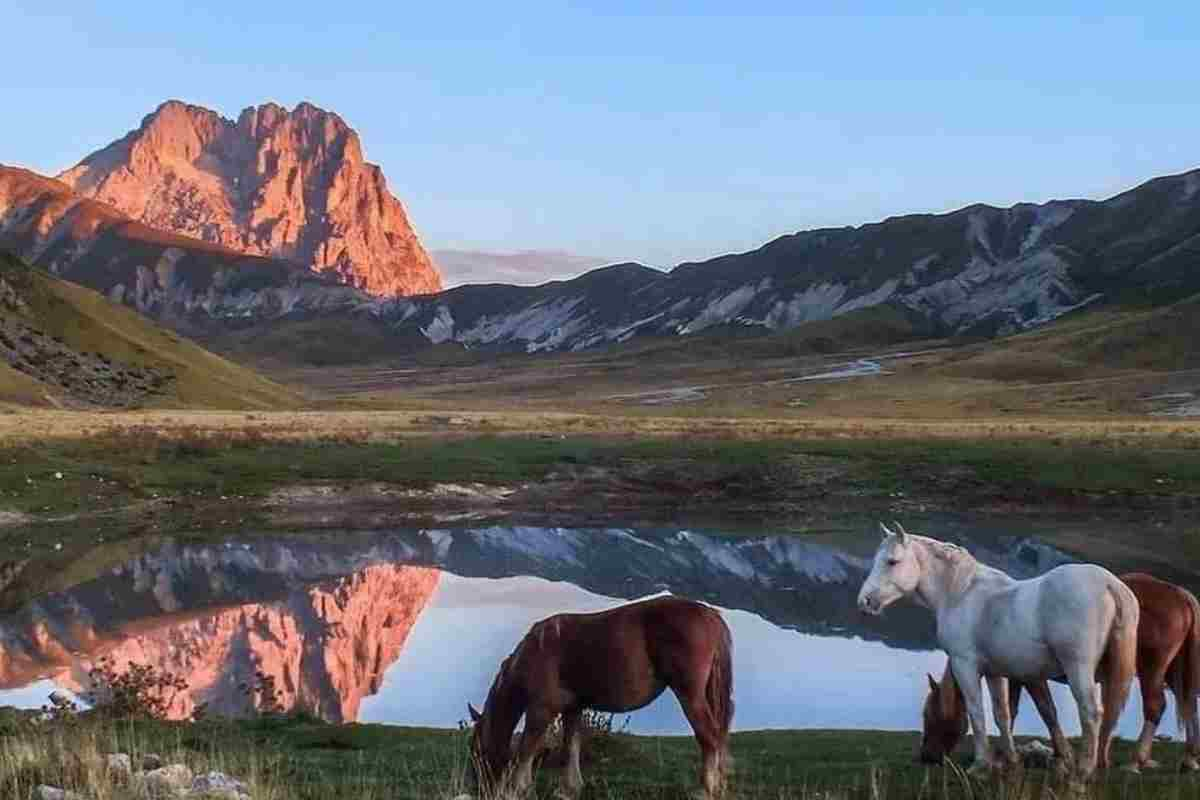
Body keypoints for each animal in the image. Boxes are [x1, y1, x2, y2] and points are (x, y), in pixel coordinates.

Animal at [465, 597, 729, 796]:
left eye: (476, 751)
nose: (481, 789)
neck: (535, 652)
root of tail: (709, 615)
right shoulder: (573, 708)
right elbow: (570, 747)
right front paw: (569, 788)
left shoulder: (541, 709)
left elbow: (526, 750)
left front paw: (515, 790)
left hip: (690, 694)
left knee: (709, 737)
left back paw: (707, 789)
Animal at [859, 522, 1137, 777]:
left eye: (892, 561)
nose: (865, 601)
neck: (961, 593)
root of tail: (1109, 583)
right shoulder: (996, 672)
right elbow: (1002, 714)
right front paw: (1010, 760)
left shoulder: (966, 666)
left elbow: (977, 713)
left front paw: (981, 763)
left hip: (1078, 670)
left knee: (1091, 713)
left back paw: (1084, 770)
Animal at [916, 573, 1200, 772]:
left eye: (928, 715)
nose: (926, 757)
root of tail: (1180, 594)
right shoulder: (1016, 676)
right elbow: (1015, 710)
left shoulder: (1030, 677)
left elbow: (1044, 711)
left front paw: (1058, 755)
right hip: (1172, 672)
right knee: (1188, 703)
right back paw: (1189, 758)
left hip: (1151, 670)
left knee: (1155, 706)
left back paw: (1135, 760)